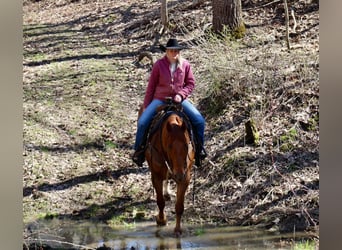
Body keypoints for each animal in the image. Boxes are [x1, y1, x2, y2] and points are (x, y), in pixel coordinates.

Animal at [142, 102, 195, 235]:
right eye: (170, 146)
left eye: (186, 145)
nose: (178, 174)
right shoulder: (156, 176)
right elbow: (160, 201)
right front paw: (161, 220)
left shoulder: (185, 178)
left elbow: (179, 206)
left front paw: (178, 229)